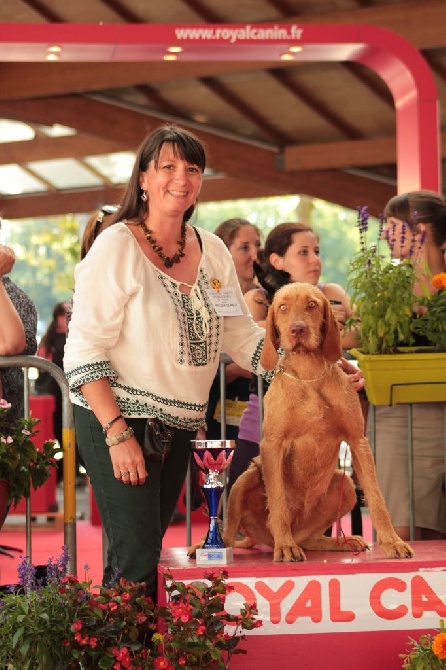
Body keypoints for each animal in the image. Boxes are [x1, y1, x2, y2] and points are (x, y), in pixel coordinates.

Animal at [223, 282, 414, 560]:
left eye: (312, 305)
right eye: (283, 307)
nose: (297, 329)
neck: (308, 375)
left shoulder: (358, 442)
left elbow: (377, 499)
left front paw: (393, 541)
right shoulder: (272, 445)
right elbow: (278, 503)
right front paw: (285, 546)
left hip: (345, 485)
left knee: (311, 539)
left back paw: (340, 542)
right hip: (242, 482)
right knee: (228, 534)